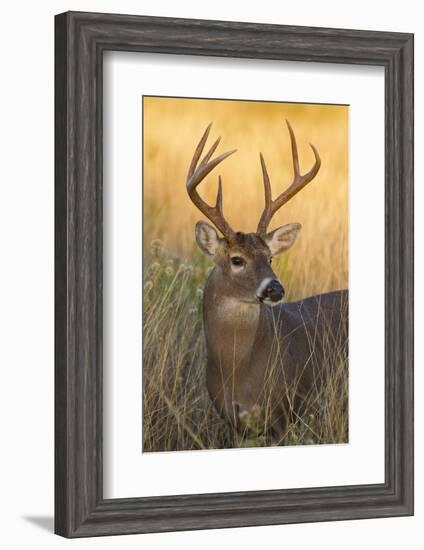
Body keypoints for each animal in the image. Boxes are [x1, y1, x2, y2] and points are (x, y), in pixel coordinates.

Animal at [186, 121, 348, 444]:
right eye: (237, 259)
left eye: (270, 258)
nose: (275, 288)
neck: (236, 370)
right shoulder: (233, 423)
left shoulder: (285, 413)